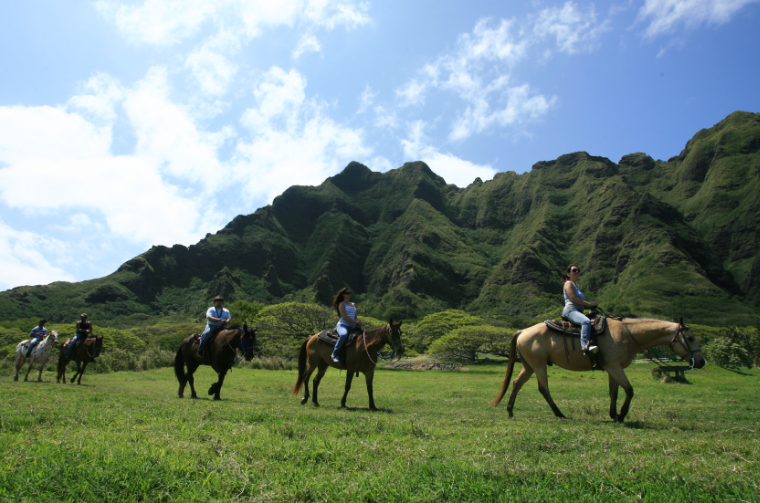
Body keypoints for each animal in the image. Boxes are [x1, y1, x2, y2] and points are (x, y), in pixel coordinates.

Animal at [492, 318, 708, 422]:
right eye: (690, 338)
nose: (701, 361)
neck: (627, 334)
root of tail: (523, 331)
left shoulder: (613, 367)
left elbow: (614, 392)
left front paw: (614, 414)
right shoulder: (614, 366)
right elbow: (629, 390)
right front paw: (622, 415)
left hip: (529, 365)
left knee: (516, 383)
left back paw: (510, 411)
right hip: (538, 365)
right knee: (543, 388)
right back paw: (559, 413)